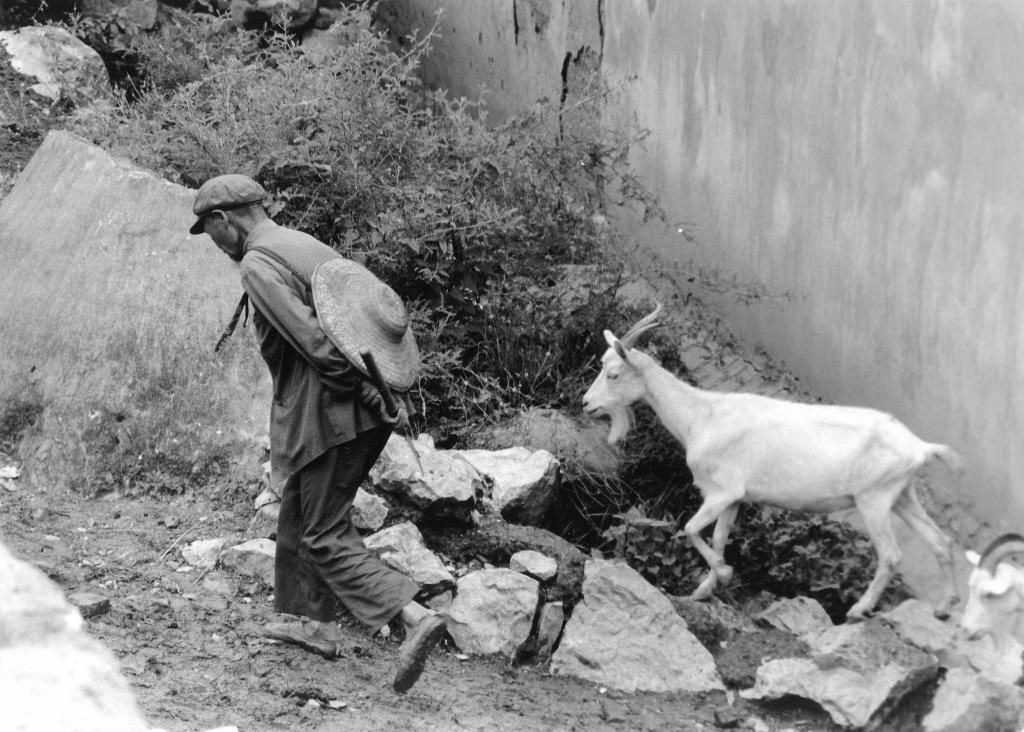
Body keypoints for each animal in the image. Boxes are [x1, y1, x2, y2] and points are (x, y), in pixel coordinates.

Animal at [581, 307, 962, 622]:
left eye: (613, 374)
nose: (586, 403)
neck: (703, 417)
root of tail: (919, 447)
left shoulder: (721, 492)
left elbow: (690, 529)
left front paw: (723, 575)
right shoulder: (733, 499)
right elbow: (718, 537)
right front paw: (704, 590)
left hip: (874, 500)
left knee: (892, 555)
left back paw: (858, 610)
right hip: (902, 495)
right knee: (941, 541)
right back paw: (944, 608)